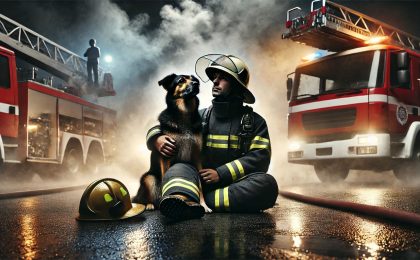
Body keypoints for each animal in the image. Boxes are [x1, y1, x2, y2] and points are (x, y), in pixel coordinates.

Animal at [135, 73, 212, 213]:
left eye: (194, 79)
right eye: (181, 80)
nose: (196, 84)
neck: (185, 114)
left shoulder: (197, 158)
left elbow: (200, 185)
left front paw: (204, 205)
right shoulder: (166, 155)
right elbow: (166, 179)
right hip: (149, 178)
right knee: (144, 197)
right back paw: (150, 205)